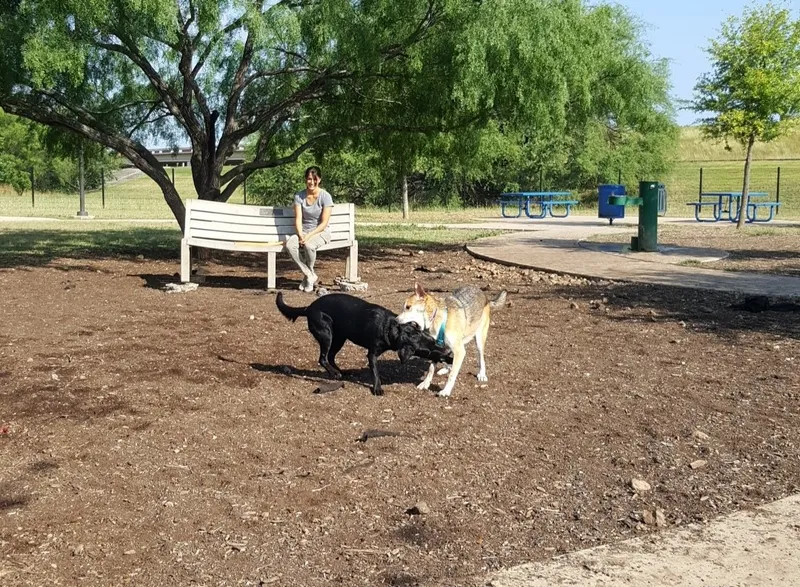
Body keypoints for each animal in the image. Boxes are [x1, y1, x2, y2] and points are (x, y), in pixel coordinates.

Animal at [276, 292, 450, 398]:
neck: (390, 328)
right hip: (327, 335)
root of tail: (309, 308)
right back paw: (334, 374)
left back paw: (341, 372)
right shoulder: (372, 354)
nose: (447, 351)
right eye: (426, 351)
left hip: (339, 338)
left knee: (330, 357)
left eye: (433, 340)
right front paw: (377, 388)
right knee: (323, 358)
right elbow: (375, 373)